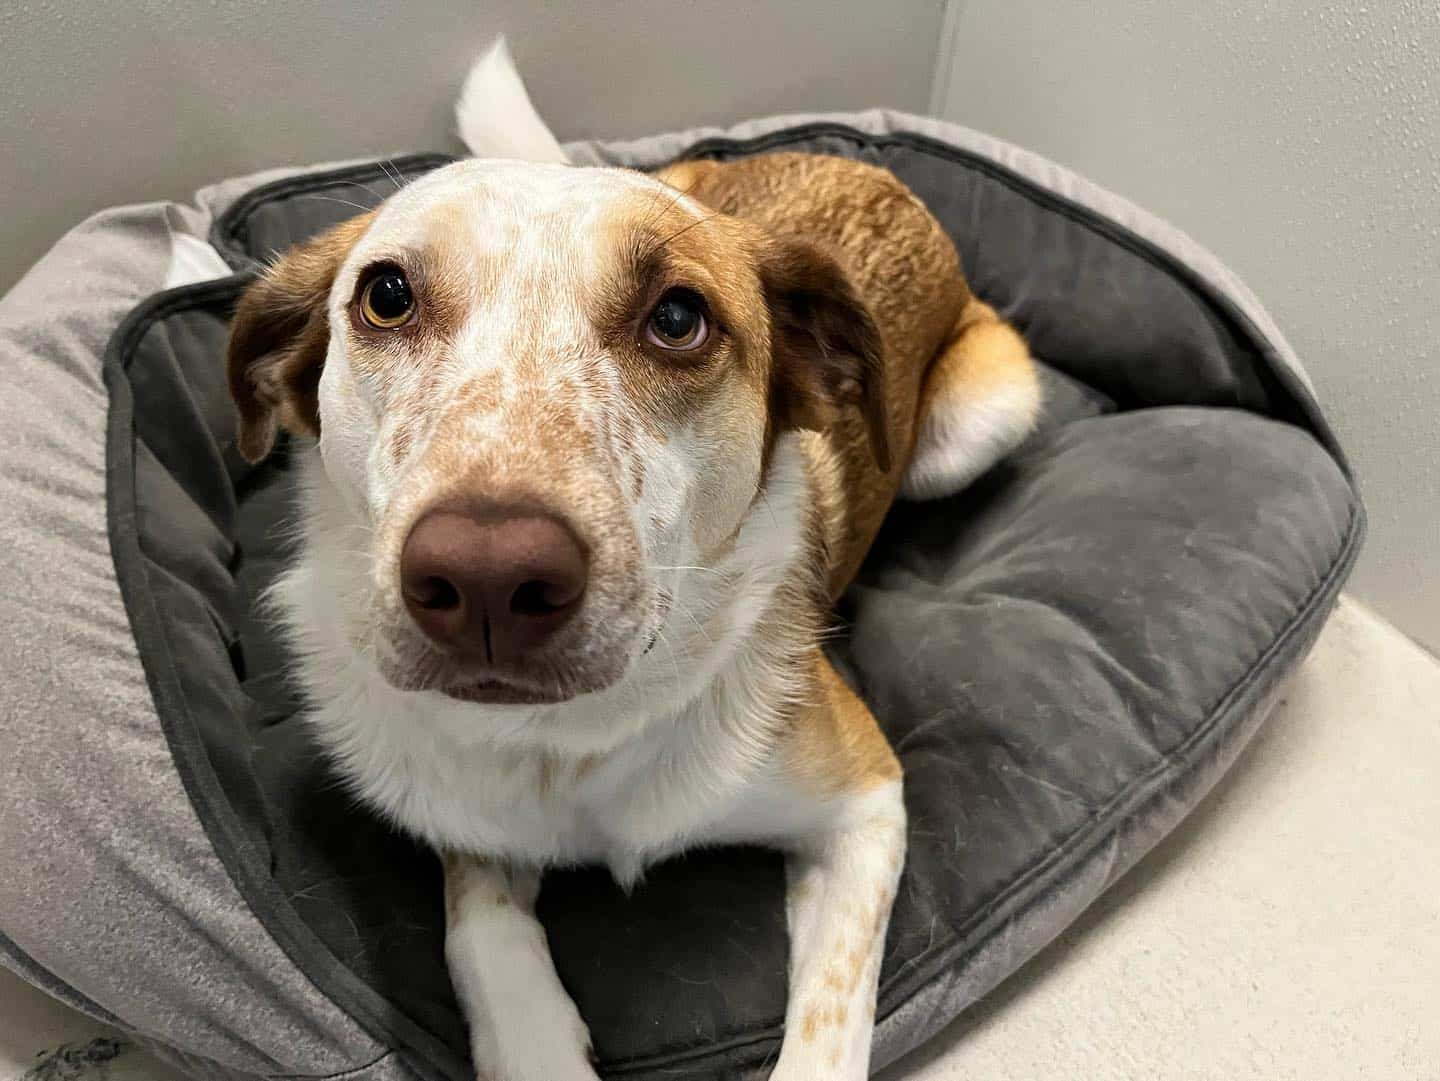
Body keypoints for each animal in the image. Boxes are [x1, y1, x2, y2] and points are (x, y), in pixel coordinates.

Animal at [221, 35, 1036, 1081]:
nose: (487, 578)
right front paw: (537, 1040)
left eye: (678, 317)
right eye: (387, 296)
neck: (571, 745)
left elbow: (827, 1027)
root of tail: (873, 167)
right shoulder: (462, 811)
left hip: (980, 418)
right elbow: (484, 940)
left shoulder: (867, 800)